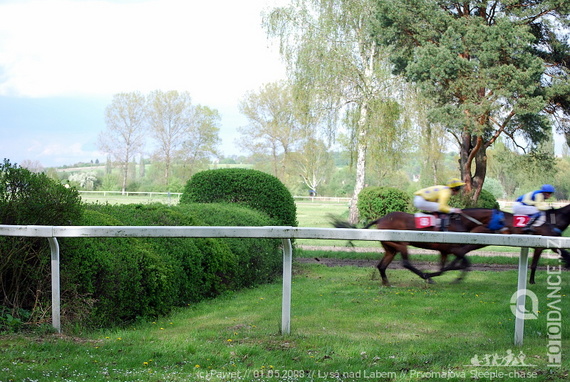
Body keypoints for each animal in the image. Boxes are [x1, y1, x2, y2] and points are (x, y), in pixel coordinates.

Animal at [328, 209, 502, 286]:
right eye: (501, 220)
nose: (502, 231)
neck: (459, 223)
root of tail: (381, 219)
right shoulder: (453, 248)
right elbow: (464, 263)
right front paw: (437, 276)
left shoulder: (444, 250)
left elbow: (446, 267)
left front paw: (446, 275)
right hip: (400, 244)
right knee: (406, 263)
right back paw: (424, 276)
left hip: (390, 248)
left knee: (381, 266)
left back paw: (387, 283)